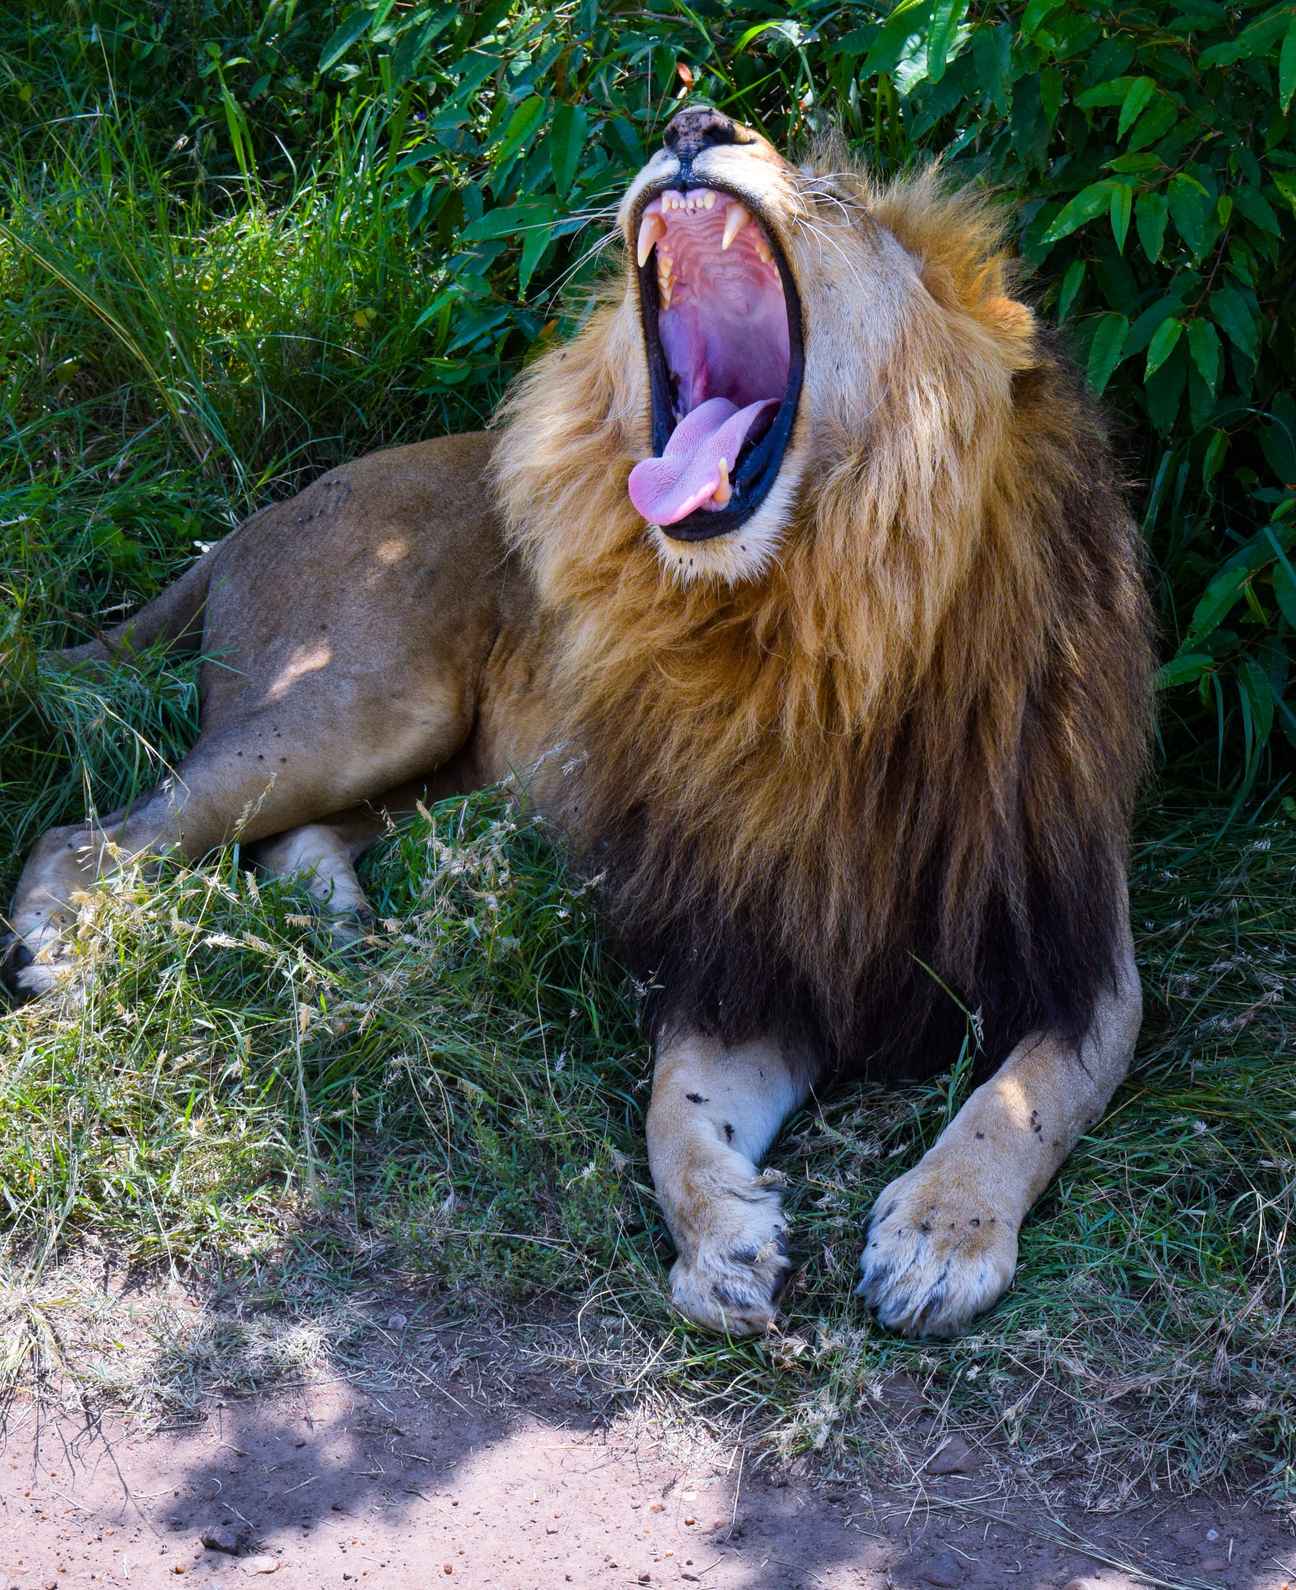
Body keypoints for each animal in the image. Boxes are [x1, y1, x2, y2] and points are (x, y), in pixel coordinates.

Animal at [5, 106, 1153, 1339]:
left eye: (834, 200)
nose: (695, 122)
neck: (819, 637)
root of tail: (255, 516)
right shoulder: (738, 946)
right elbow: (672, 1113)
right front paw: (722, 1245)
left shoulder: (1080, 946)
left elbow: (1022, 1098)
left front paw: (941, 1237)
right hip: (366, 708)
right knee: (91, 836)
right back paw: (65, 962)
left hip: (453, 768)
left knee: (288, 842)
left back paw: (364, 946)